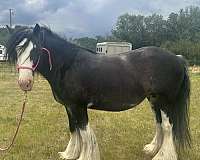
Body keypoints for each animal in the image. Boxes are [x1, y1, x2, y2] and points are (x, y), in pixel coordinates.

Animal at [5, 24, 191, 160]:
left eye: (35, 49)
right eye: (17, 50)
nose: (24, 83)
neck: (68, 65)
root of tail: (177, 59)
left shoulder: (79, 107)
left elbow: (85, 133)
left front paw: (83, 157)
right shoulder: (69, 106)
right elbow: (73, 129)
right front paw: (69, 154)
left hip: (165, 101)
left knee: (167, 126)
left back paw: (162, 156)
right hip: (154, 100)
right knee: (159, 123)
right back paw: (152, 149)